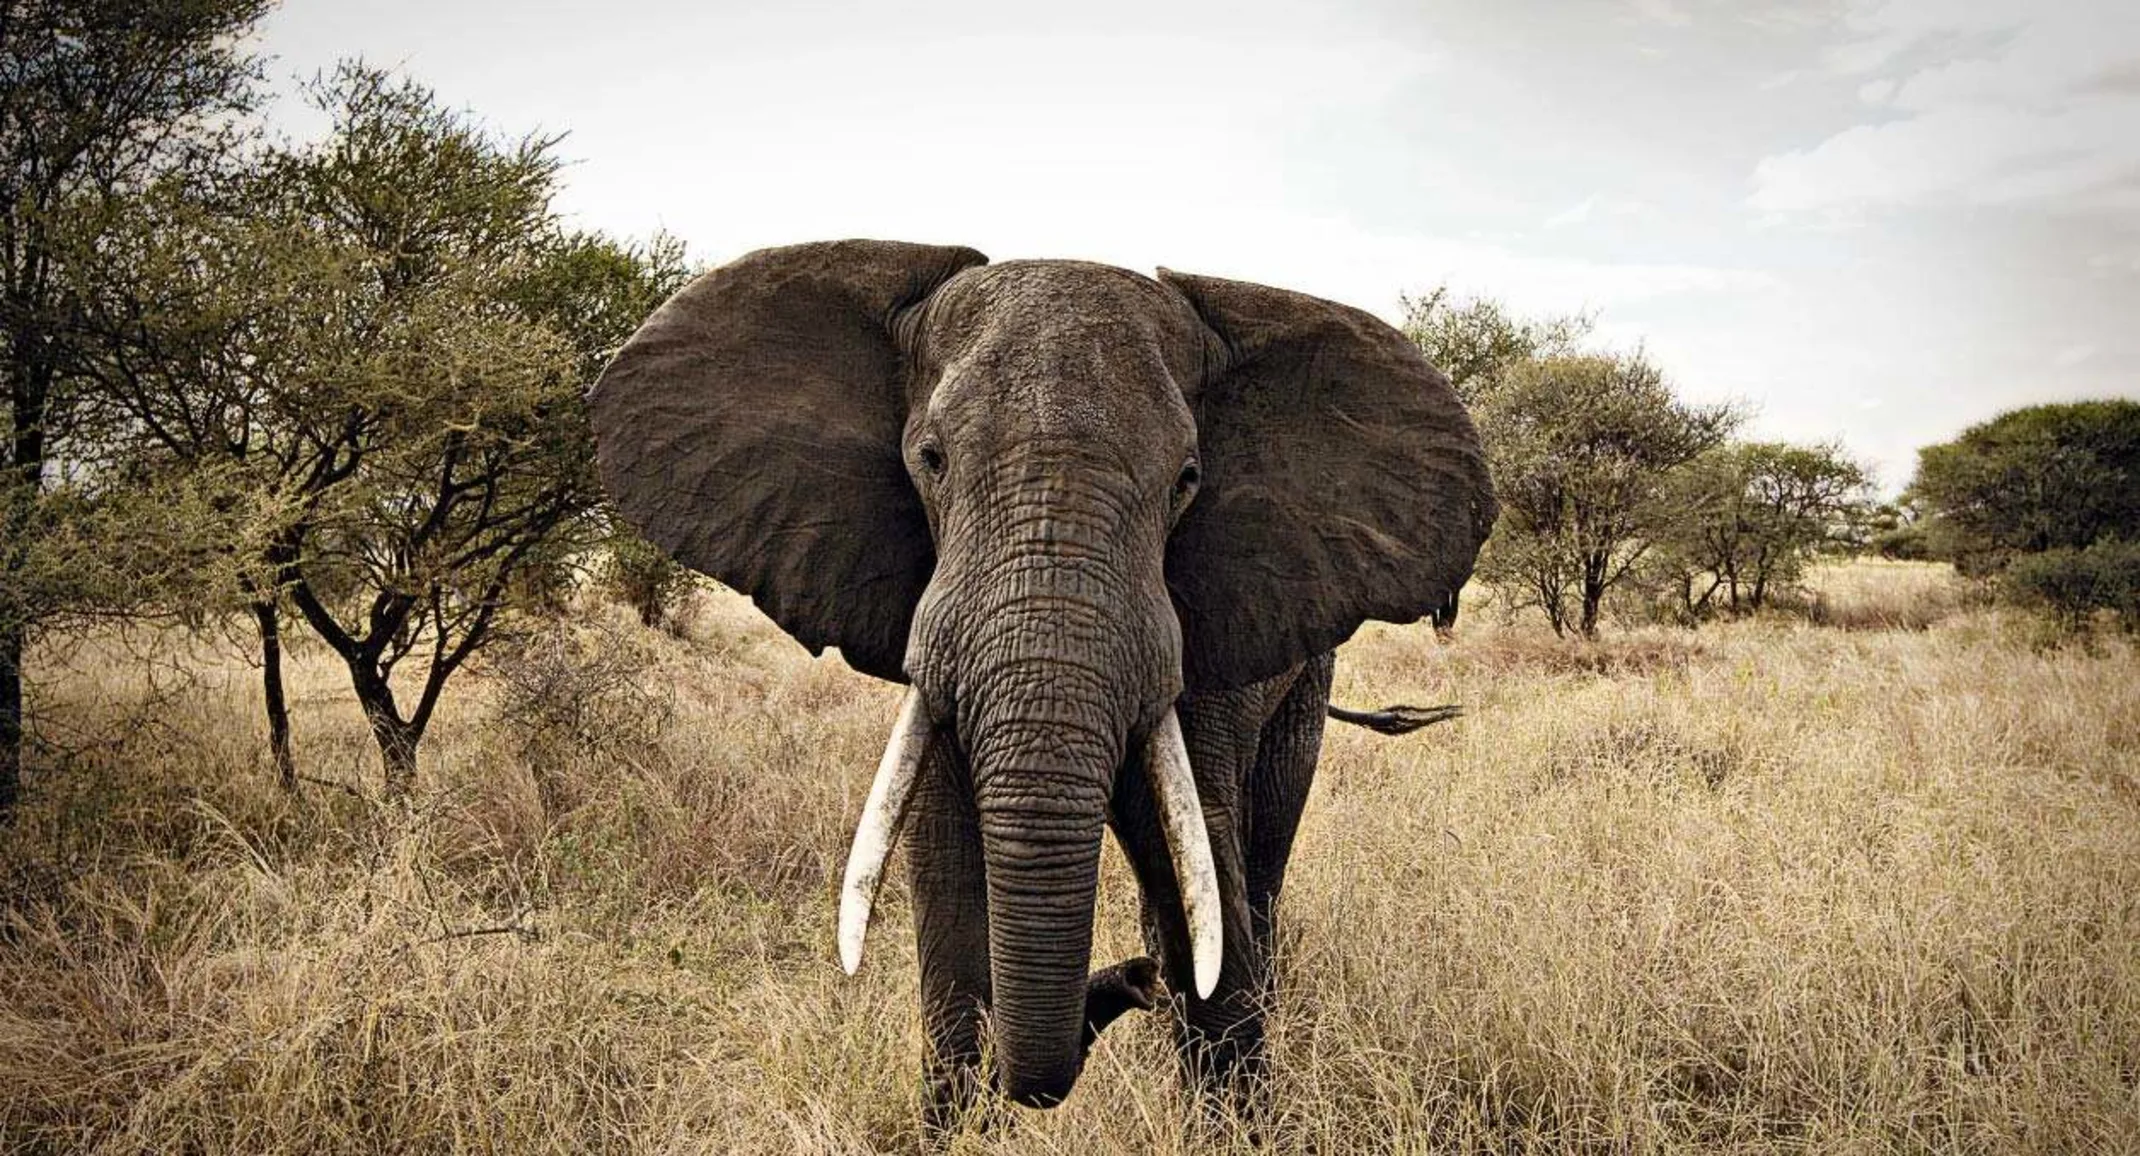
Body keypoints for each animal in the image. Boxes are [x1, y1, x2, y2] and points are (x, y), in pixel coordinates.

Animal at [588, 239, 1495, 1128]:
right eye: (930, 460)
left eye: (1187, 479)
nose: (1131, 980)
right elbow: (948, 863)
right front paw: (957, 1128)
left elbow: (1203, 868)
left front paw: (1233, 1124)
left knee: (1256, 860)